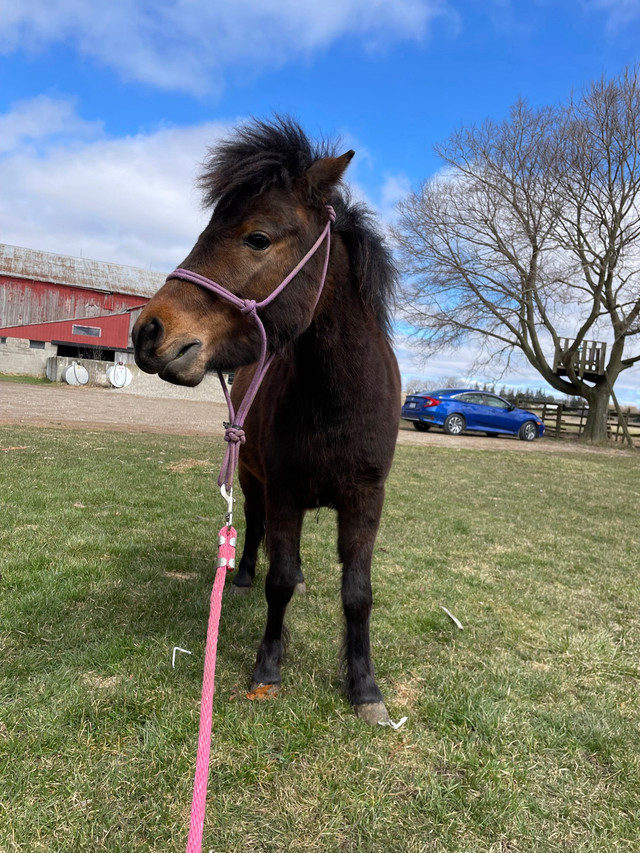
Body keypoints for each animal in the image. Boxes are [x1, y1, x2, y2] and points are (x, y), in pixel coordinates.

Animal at [132, 116, 398, 724]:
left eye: (257, 238)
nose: (148, 331)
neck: (337, 400)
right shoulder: (283, 492)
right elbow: (277, 582)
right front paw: (268, 669)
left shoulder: (365, 500)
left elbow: (358, 594)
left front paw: (364, 687)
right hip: (256, 483)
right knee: (253, 530)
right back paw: (245, 574)